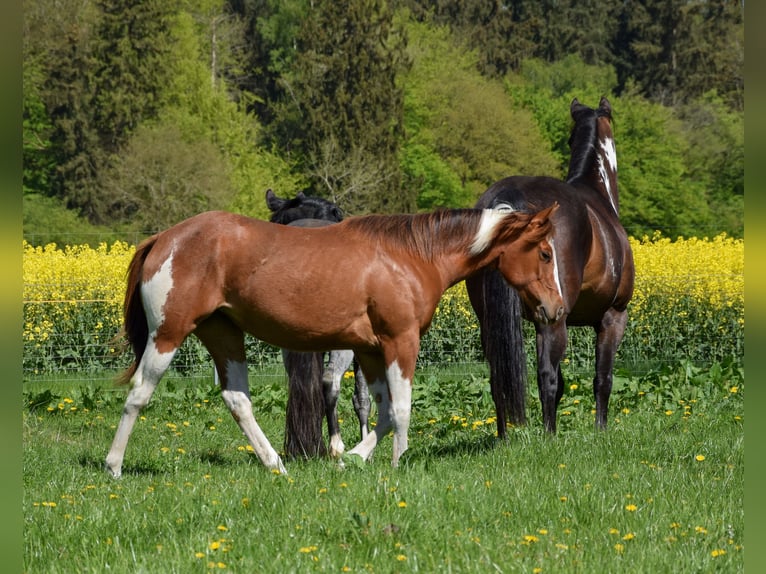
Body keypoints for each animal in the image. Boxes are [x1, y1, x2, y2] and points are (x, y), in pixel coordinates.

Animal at [466, 96, 635, 436]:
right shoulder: (612, 316)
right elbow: (602, 378)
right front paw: (600, 430)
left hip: (492, 322)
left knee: (498, 377)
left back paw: (505, 437)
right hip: (552, 320)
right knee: (546, 376)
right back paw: (549, 435)